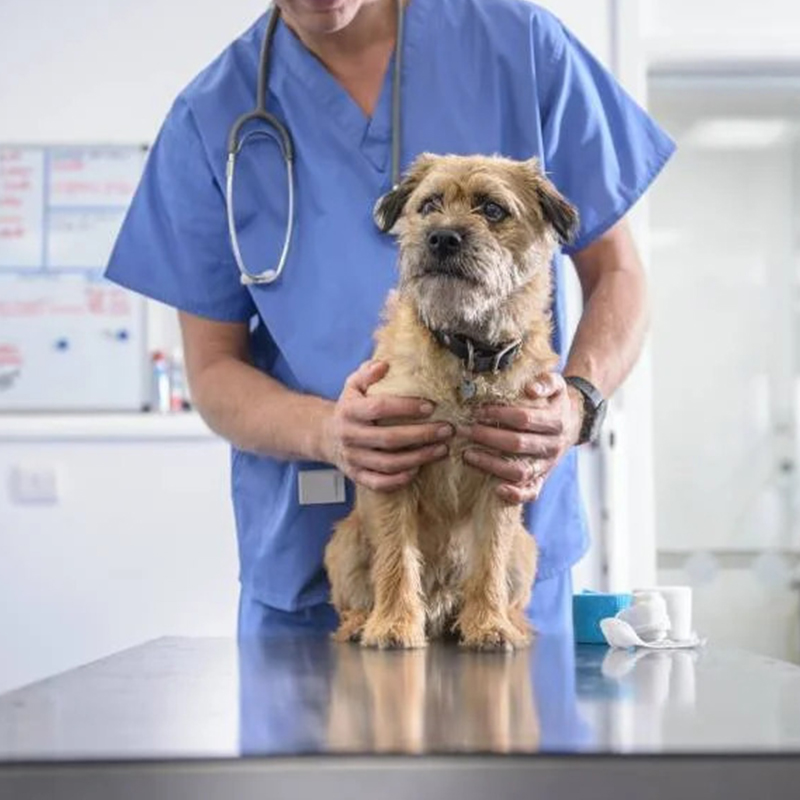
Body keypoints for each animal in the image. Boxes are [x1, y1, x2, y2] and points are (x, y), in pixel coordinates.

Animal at [322, 155, 580, 648]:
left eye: (493, 209)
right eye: (429, 205)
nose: (441, 237)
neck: (466, 353)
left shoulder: (504, 472)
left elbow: (489, 560)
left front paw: (489, 624)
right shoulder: (394, 466)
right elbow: (396, 558)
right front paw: (394, 624)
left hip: (526, 551)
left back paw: (507, 621)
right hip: (343, 544)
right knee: (352, 599)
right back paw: (362, 622)